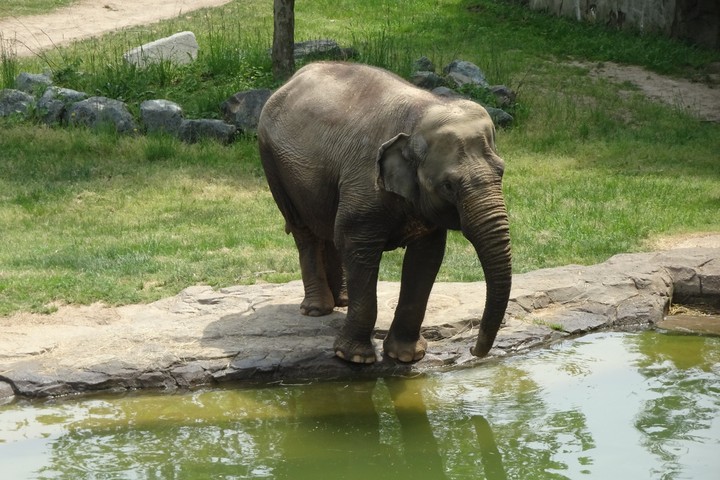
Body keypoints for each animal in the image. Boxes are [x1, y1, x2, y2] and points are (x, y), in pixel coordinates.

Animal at [257, 62, 512, 364]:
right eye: (449, 185)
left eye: (501, 172)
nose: (474, 351)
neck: (423, 112)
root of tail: (294, 77)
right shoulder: (364, 181)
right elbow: (356, 246)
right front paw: (354, 358)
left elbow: (426, 257)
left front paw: (406, 356)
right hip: (272, 162)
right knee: (305, 232)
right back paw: (317, 309)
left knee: (329, 230)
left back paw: (342, 300)